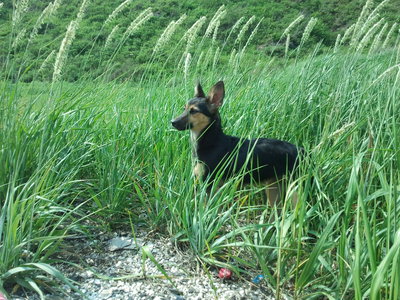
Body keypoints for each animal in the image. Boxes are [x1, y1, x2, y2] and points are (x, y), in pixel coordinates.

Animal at [170, 81, 302, 205]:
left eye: (194, 111)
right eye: (184, 108)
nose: (172, 122)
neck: (211, 142)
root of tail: (301, 150)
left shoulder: (210, 187)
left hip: (295, 190)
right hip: (274, 188)